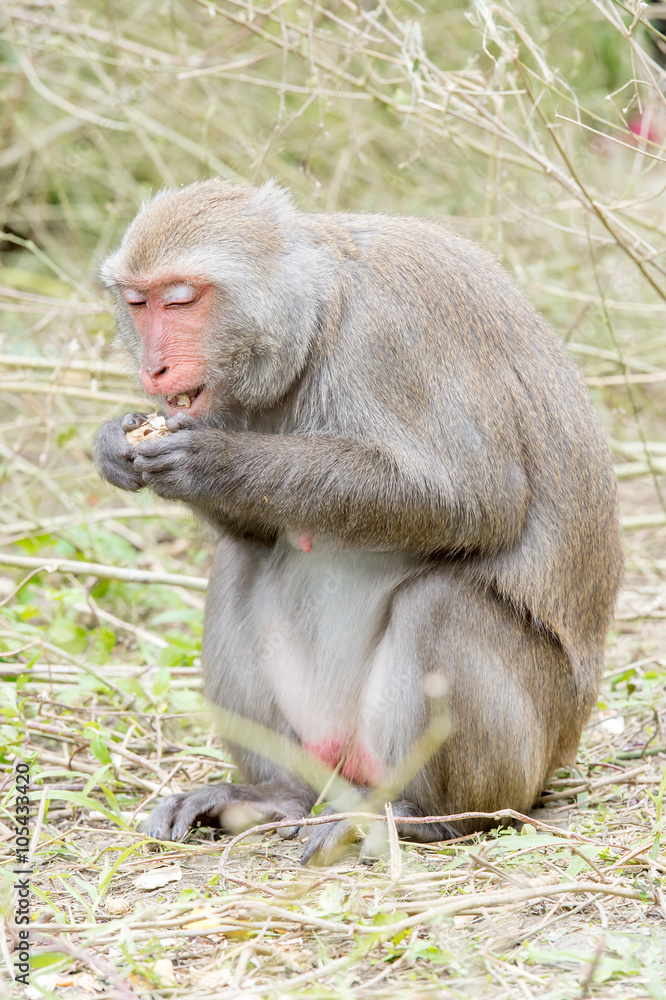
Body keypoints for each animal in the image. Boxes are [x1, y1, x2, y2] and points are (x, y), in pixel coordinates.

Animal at [94, 178, 624, 860]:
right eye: (138, 303)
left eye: (181, 300)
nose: (152, 367)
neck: (318, 319)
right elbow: (256, 532)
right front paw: (116, 443)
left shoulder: (393, 333)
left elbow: (476, 497)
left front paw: (213, 461)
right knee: (241, 560)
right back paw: (278, 794)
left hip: (526, 756)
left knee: (440, 605)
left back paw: (428, 816)